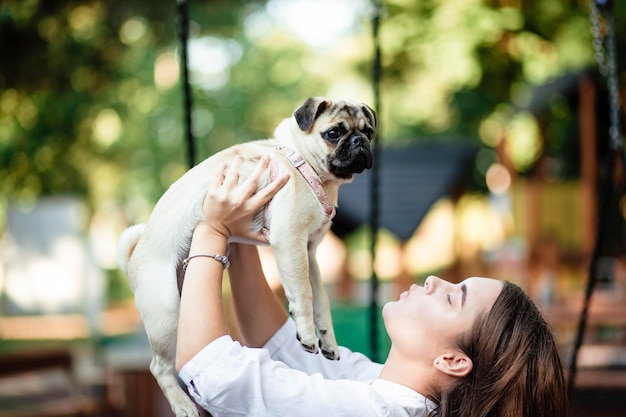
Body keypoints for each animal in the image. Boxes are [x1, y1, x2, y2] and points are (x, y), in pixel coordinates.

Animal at [117, 97, 376, 416]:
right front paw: (306, 334)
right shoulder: (291, 240)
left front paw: (328, 339)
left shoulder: (309, 252)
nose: (359, 141)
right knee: (160, 367)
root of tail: (134, 255)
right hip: (167, 313)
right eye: (334, 133)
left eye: (369, 132)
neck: (306, 165)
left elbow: (320, 299)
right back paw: (183, 405)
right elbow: (303, 293)